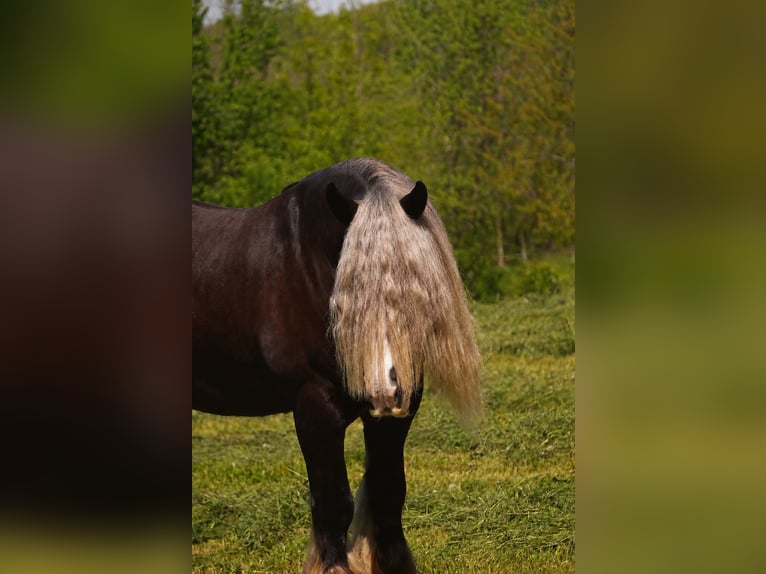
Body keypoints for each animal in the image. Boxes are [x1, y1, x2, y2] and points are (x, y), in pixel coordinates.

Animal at [192, 158, 481, 574]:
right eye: (349, 288)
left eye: (411, 286)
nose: (383, 390)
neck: (301, 267)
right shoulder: (316, 407)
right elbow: (333, 504)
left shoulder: (397, 414)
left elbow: (388, 493)